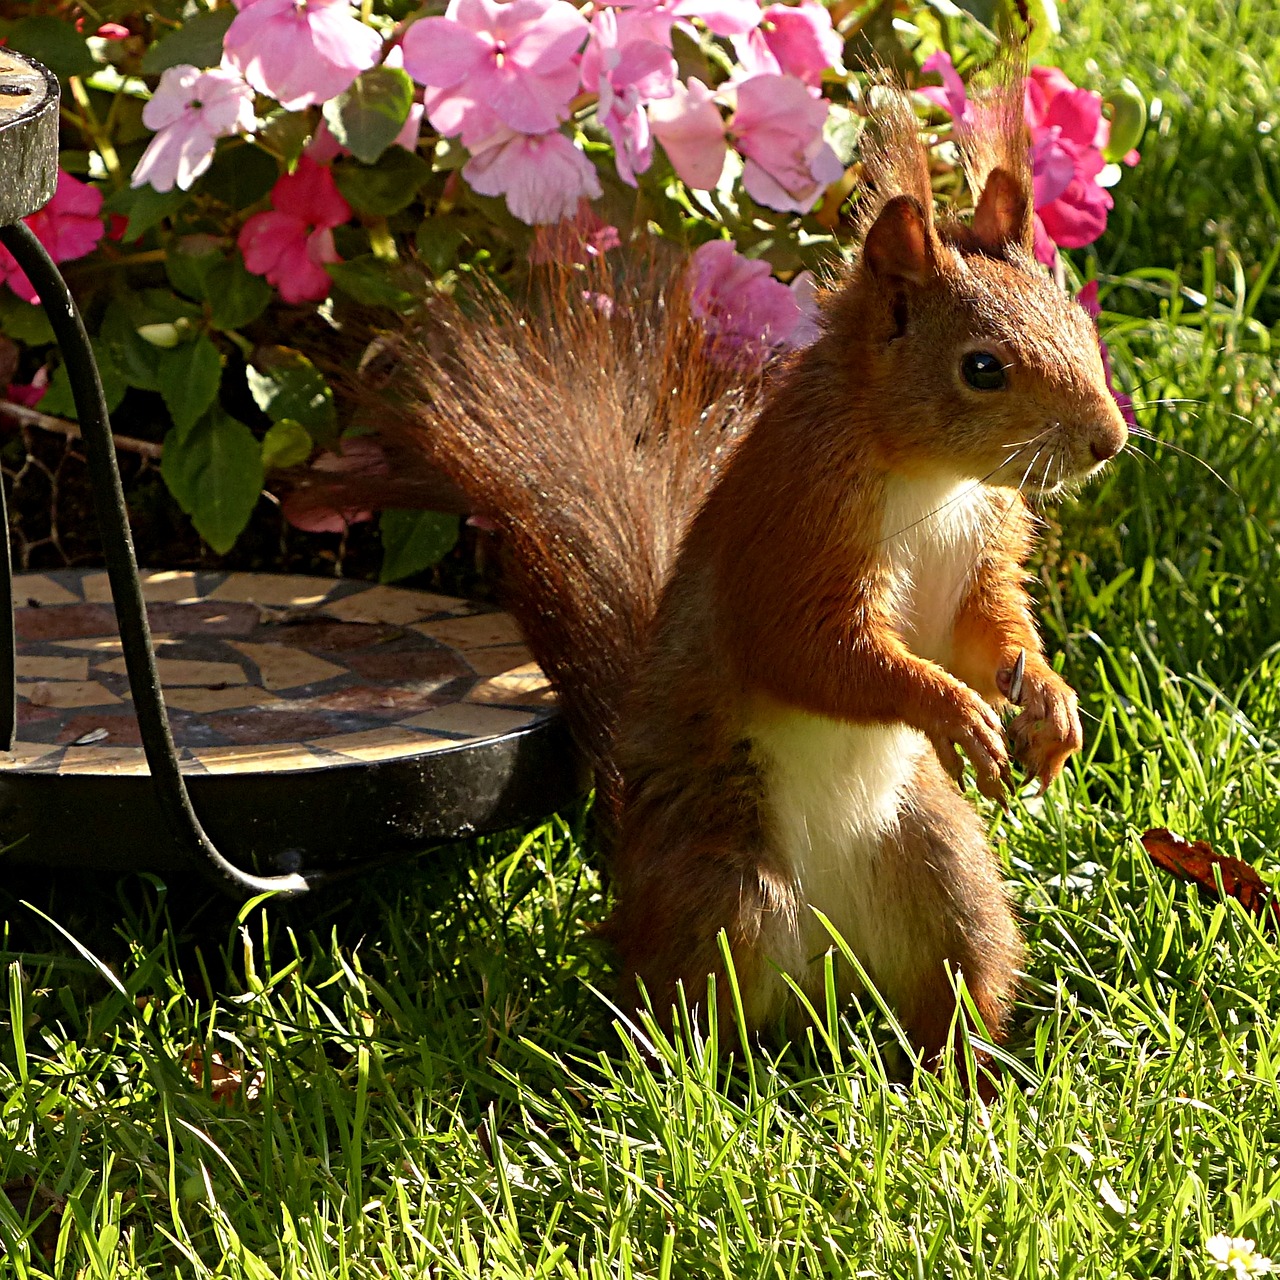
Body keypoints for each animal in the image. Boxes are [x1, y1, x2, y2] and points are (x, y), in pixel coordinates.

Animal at [373, 77, 1126, 1059]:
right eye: (983, 368)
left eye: (1077, 320)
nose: (1109, 440)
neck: (933, 478)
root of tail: (831, 975)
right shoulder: (794, 538)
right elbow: (813, 653)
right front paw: (953, 710)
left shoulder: (981, 554)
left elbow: (987, 631)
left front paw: (1048, 699)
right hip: (727, 887)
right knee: (690, 1008)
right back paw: (694, 1075)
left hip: (944, 872)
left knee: (956, 978)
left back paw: (962, 1073)